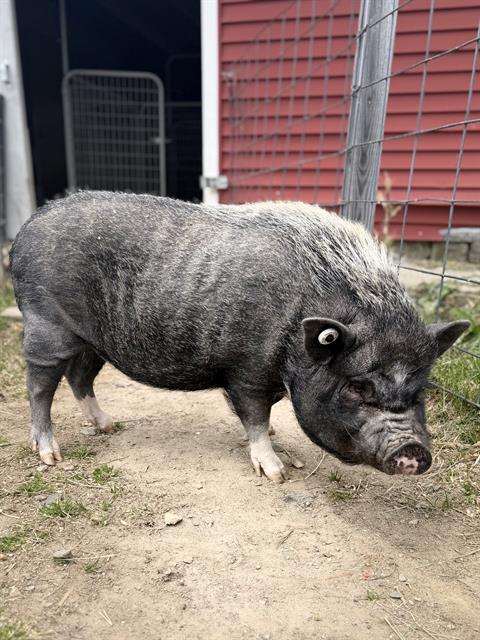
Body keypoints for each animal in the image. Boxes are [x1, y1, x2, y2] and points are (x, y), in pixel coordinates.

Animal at [9, 192, 469, 481]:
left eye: (421, 390)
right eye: (357, 386)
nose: (413, 452)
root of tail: (25, 229)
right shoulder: (247, 368)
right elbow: (254, 416)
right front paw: (276, 473)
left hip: (93, 339)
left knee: (80, 376)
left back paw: (108, 425)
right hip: (46, 324)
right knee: (39, 385)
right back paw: (50, 455)